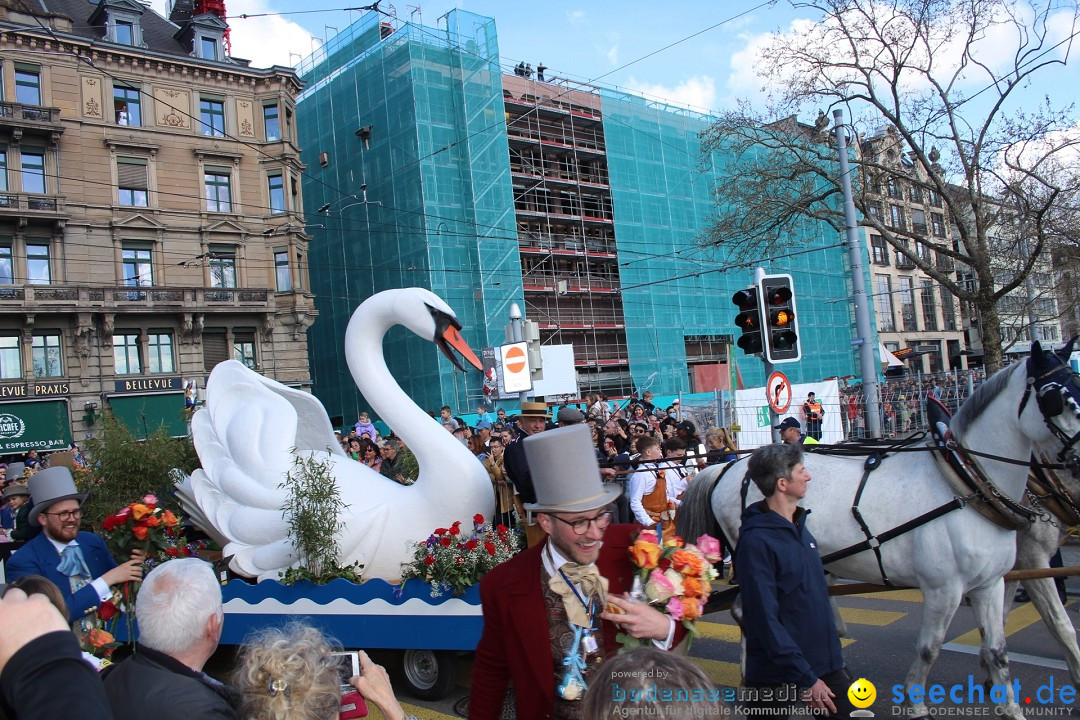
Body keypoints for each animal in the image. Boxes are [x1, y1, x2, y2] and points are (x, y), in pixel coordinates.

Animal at [678, 343, 1080, 720]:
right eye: (1056, 397)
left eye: (1077, 382)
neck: (965, 481)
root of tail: (727, 469)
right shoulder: (945, 588)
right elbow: (929, 648)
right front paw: (916, 704)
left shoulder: (990, 584)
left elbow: (998, 651)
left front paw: (1009, 706)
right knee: (751, 614)